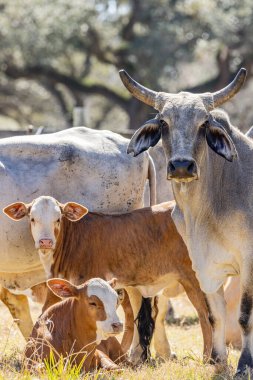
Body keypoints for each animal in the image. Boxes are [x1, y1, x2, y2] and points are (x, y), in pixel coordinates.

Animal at [119, 67, 253, 374]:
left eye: (204, 124)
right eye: (163, 122)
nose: (182, 166)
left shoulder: (249, 261)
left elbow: (243, 316)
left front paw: (244, 366)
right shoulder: (203, 264)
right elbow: (215, 314)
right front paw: (218, 363)